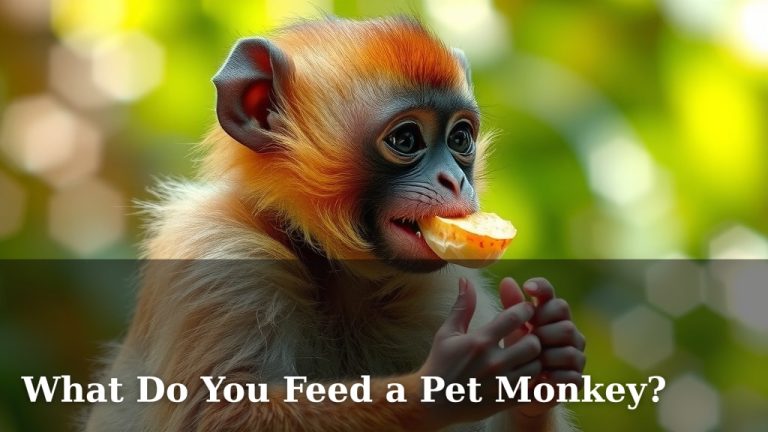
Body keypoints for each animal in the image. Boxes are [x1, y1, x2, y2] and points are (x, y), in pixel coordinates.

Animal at [85, 17, 585, 431]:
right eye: (407, 139)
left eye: (460, 138)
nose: (456, 180)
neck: (331, 271)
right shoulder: (218, 255)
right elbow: (214, 416)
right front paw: (446, 385)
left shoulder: (435, 292)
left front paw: (549, 349)